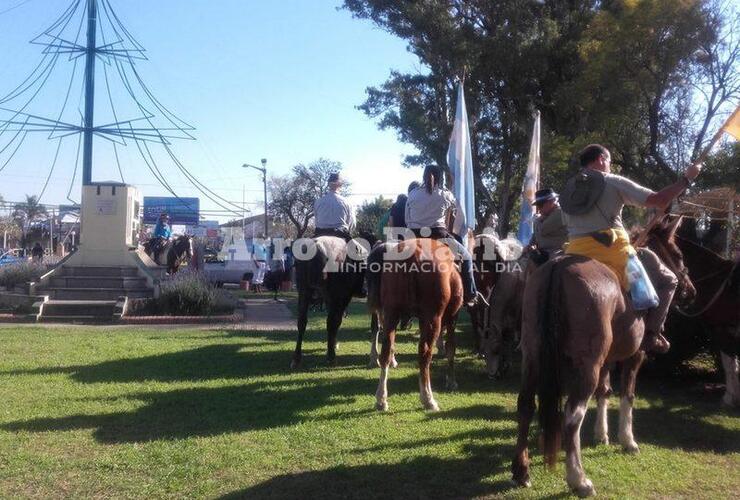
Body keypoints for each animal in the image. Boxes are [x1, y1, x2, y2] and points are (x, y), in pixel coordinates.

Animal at [292, 234, 368, 368]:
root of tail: (316, 246)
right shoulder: (341, 297)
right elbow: (335, 322)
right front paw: (332, 348)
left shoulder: (329, 298)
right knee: (332, 322)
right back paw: (331, 357)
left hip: (304, 291)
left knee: (302, 321)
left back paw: (297, 358)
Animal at [368, 236, 466, 412]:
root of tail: (413, 253)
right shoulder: (452, 317)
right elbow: (451, 348)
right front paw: (451, 381)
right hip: (432, 318)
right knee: (424, 353)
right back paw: (428, 398)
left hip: (391, 313)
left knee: (386, 350)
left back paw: (381, 398)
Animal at [512, 219, 696, 496]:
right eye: (678, 255)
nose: (690, 290)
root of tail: (557, 268)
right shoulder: (635, 356)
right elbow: (628, 395)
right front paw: (627, 440)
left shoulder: (607, 360)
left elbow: (605, 391)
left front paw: (602, 434)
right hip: (586, 366)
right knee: (572, 416)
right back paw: (578, 479)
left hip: (533, 358)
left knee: (526, 405)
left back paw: (521, 471)